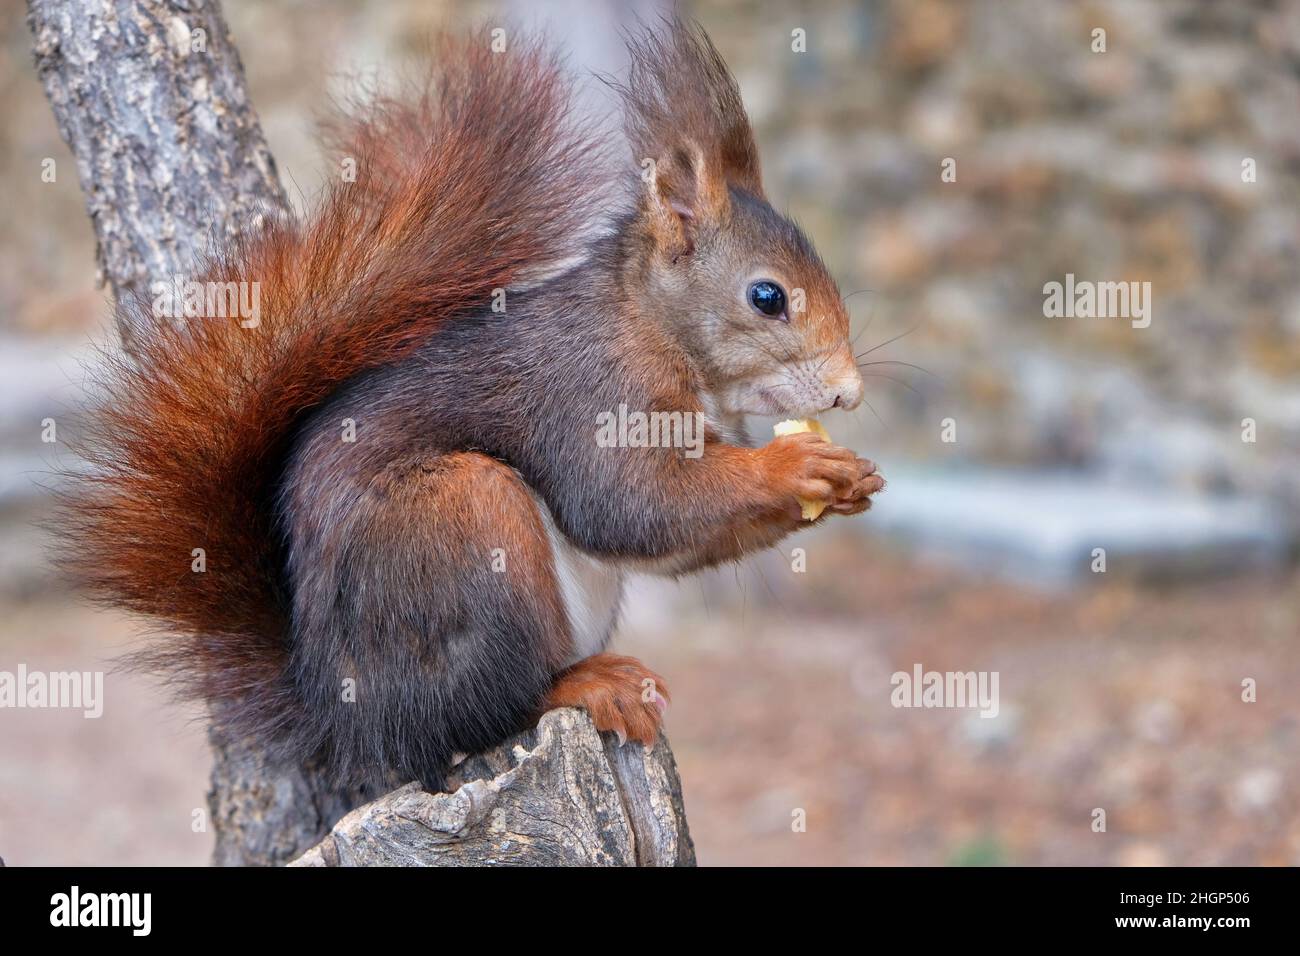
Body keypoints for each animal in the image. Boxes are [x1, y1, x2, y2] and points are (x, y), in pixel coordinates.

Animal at [62, 18, 883, 793]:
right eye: (767, 297)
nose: (849, 391)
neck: (649, 323)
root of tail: (345, 716)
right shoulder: (589, 395)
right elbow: (632, 504)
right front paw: (792, 466)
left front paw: (848, 481)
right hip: (462, 519)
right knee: (481, 714)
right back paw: (586, 684)